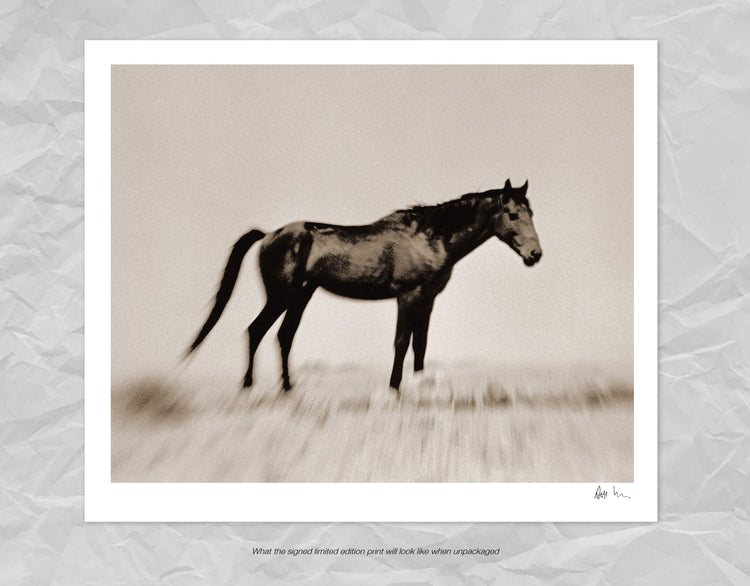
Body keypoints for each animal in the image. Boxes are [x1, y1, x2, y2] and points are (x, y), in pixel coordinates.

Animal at [188, 179, 542, 392]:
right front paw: (395, 388)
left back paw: (288, 389)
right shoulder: (407, 296)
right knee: (256, 330)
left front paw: (419, 384)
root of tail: (269, 235)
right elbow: (401, 341)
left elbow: (420, 343)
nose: (535, 254)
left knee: (283, 336)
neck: (429, 237)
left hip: (301, 296)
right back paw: (249, 388)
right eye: (512, 214)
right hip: (281, 296)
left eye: (531, 213)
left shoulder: (428, 299)